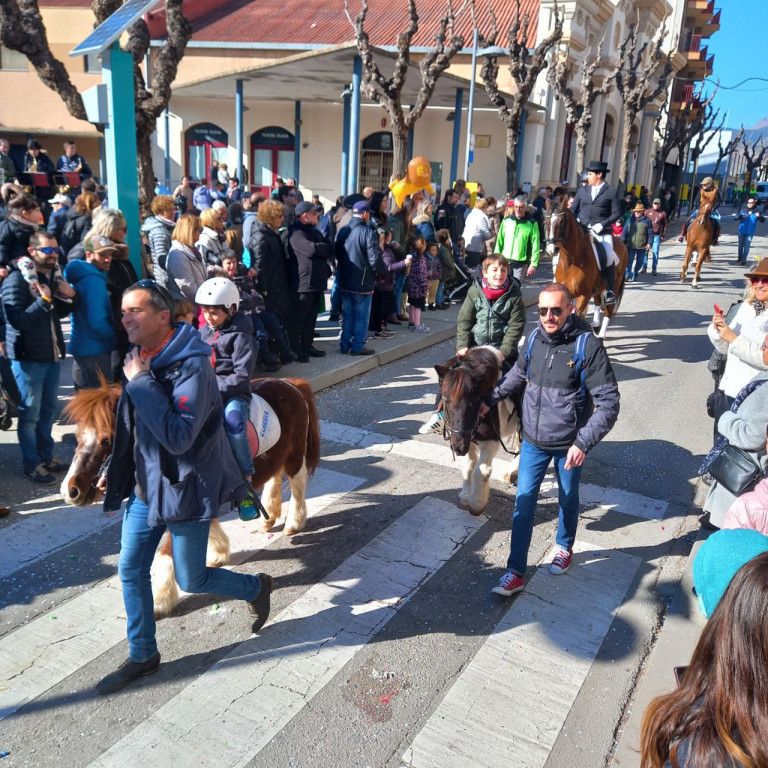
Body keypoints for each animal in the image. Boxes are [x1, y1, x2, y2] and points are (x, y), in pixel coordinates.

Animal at [61, 378, 320, 616]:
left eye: (106, 439)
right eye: (77, 436)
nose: (70, 490)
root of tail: (292, 383)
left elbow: (167, 552)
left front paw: (160, 600)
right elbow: (208, 527)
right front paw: (219, 553)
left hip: (295, 454)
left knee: (297, 485)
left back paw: (294, 523)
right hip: (277, 455)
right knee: (274, 477)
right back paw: (268, 519)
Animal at [432, 348, 520, 516]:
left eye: (475, 400)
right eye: (445, 398)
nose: (458, 448)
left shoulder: (491, 440)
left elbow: (482, 470)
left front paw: (477, 503)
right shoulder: (467, 438)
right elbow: (469, 465)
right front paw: (465, 497)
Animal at [544, 204, 628, 336]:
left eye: (561, 221)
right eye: (545, 221)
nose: (552, 249)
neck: (571, 262)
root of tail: (621, 243)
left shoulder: (584, 295)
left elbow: (576, 315)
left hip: (615, 284)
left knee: (608, 310)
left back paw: (601, 335)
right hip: (599, 287)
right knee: (598, 301)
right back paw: (596, 325)